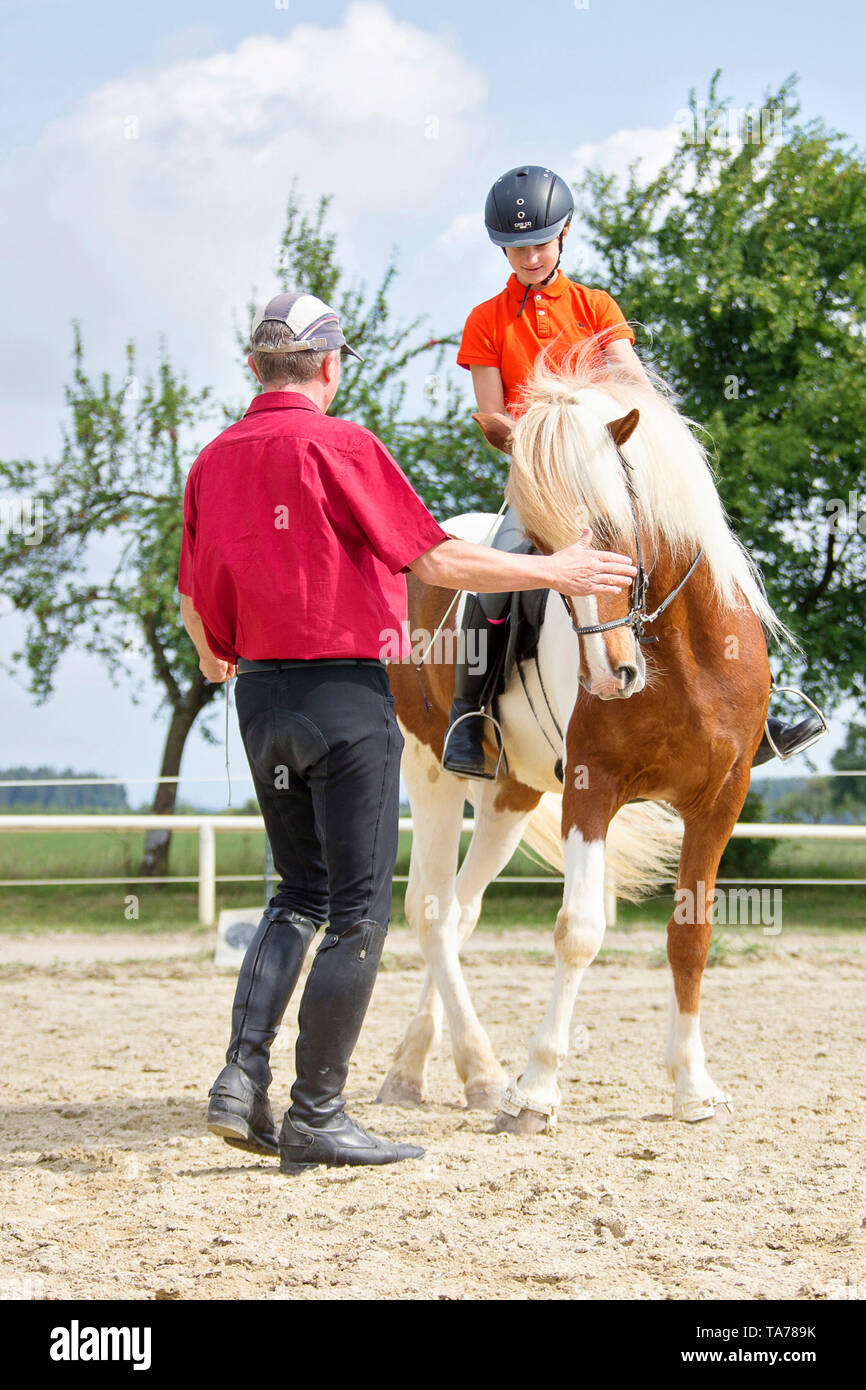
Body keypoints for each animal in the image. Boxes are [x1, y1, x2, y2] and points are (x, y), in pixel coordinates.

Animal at [375, 353, 789, 1134]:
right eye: (540, 550)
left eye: (615, 526)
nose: (609, 674)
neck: (681, 655)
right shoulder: (592, 789)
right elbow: (579, 931)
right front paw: (536, 1090)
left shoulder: (720, 800)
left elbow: (691, 936)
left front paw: (694, 1087)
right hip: (431, 771)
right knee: (432, 912)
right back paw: (475, 1071)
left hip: (510, 794)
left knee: (462, 911)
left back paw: (428, 1066)